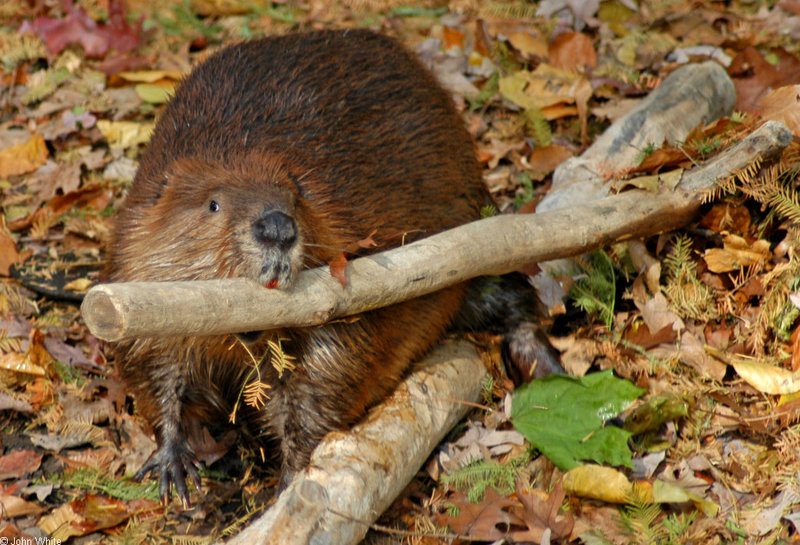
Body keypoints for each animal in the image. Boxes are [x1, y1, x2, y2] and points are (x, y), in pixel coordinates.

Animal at [103, 27, 560, 504]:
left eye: (294, 195)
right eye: (213, 204)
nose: (277, 228)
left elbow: (330, 373)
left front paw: (289, 480)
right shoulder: (134, 258)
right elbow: (150, 362)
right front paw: (172, 464)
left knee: (512, 296)